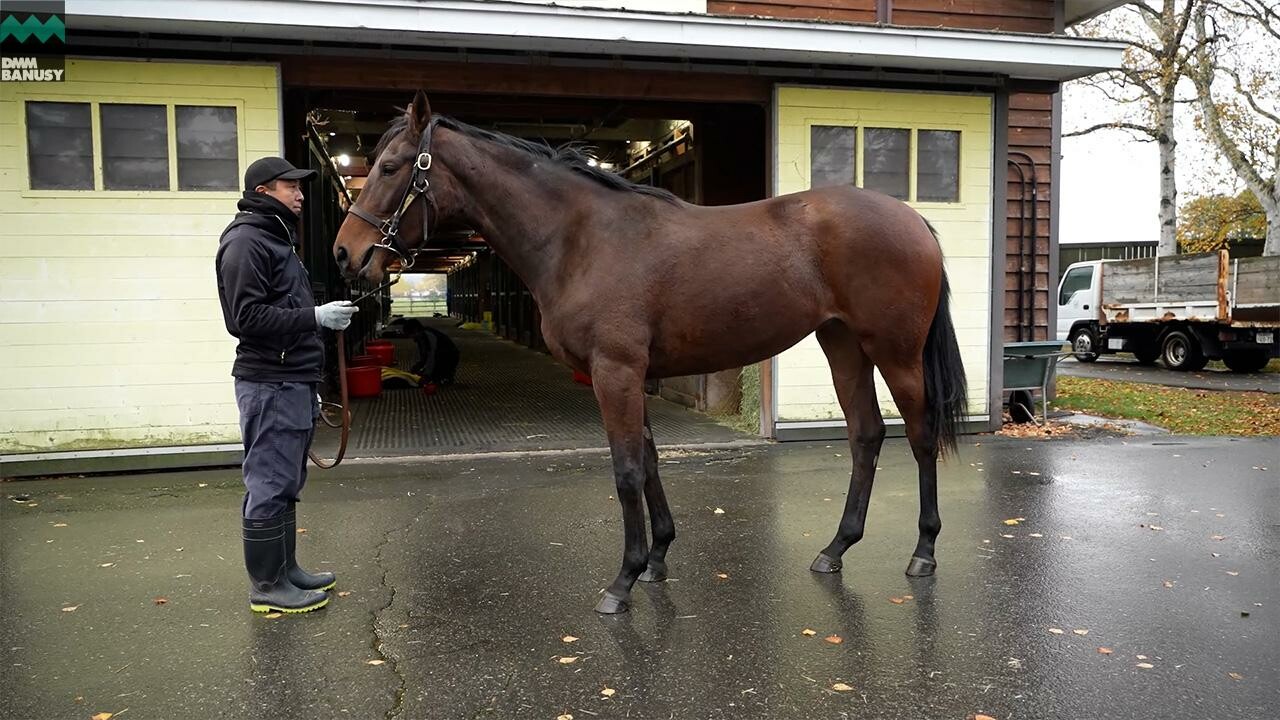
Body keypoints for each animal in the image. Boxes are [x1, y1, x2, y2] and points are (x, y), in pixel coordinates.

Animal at [335, 92, 962, 614]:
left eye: (392, 167)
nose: (345, 253)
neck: (583, 239)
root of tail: (912, 218)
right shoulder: (631, 376)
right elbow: (651, 459)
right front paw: (658, 558)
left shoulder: (615, 372)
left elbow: (627, 469)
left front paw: (624, 580)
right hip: (843, 345)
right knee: (866, 434)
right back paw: (836, 548)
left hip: (895, 352)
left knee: (920, 435)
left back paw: (925, 551)